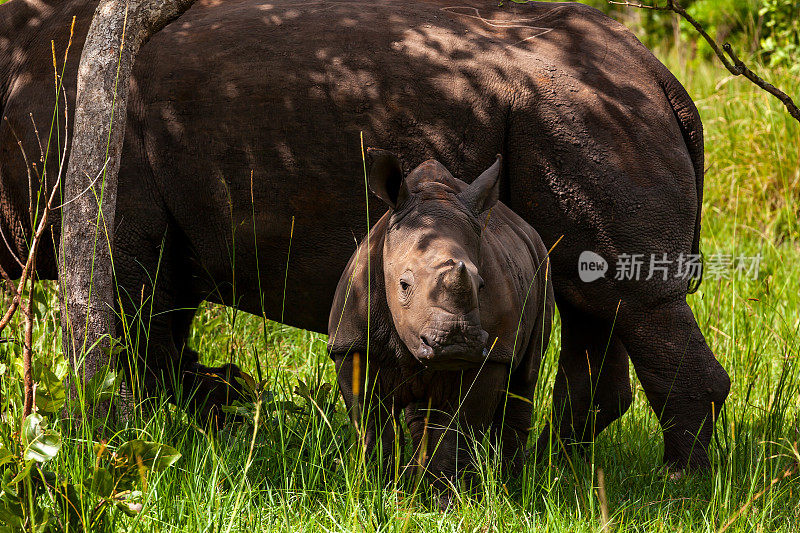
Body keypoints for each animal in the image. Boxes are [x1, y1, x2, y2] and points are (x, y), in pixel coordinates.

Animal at [328, 149, 552, 494]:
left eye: (482, 285)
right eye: (403, 285)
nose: (455, 341)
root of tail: (526, 226)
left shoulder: (492, 356)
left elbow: (461, 431)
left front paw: (451, 497)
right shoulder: (352, 342)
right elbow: (370, 422)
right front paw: (375, 487)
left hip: (543, 264)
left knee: (525, 378)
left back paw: (512, 484)